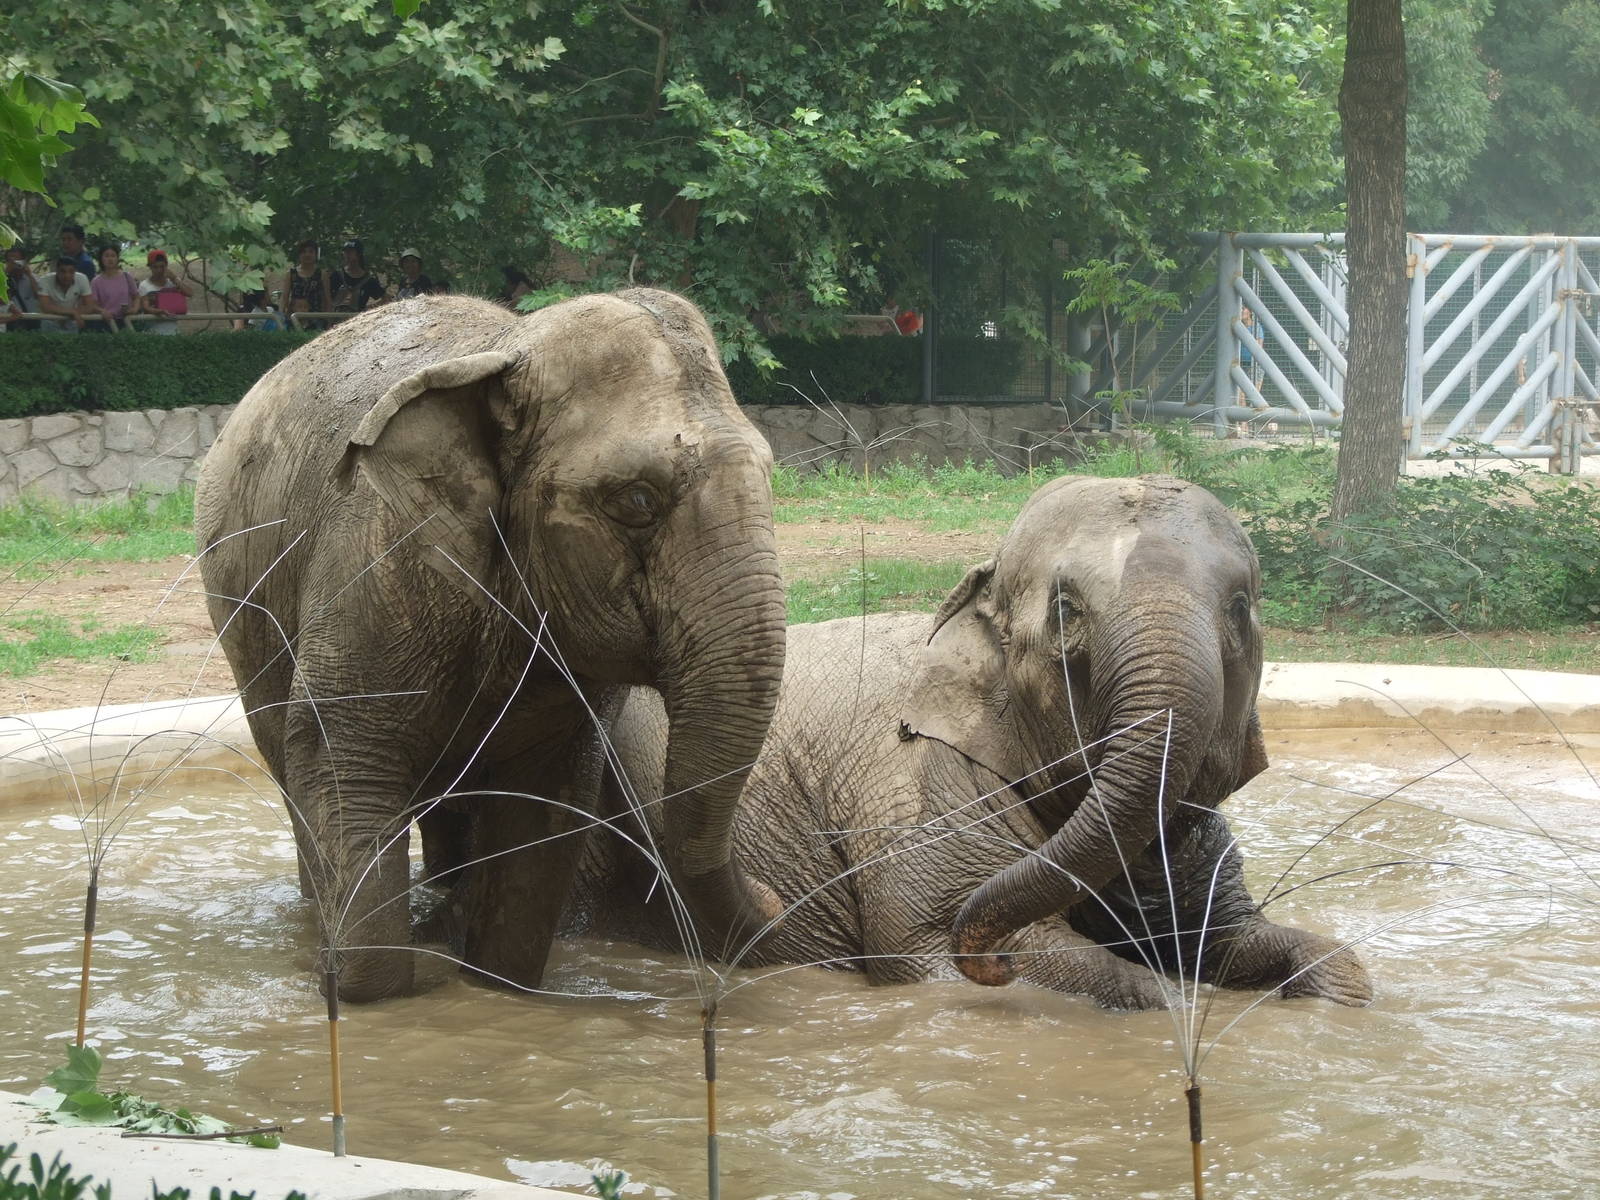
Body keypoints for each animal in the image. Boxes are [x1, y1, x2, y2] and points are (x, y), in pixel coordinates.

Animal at [195, 289, 786, 1002]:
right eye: (638, 499)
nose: (778, 901)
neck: (511, 348)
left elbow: (545, 802)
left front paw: (496, 989)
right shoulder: (373, 566)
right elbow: (338, 762)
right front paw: (363, 994)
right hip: (241, 614)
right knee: (289, 764)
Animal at [567, 474, 1371, 1010]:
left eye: (1240, 609)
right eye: (1066, 612)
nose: (993, 960)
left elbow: (1239, 940)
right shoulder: (925, 793)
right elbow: (930, 940)